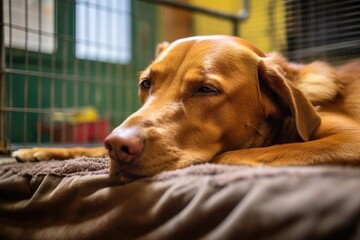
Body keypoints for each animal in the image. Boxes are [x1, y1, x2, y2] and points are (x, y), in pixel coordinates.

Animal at [11, 36, 360, 178]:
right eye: (146, 84)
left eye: (206, 89)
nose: (118, 146)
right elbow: (92, 147)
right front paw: (39, 151)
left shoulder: (351, 138)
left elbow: (228, 156)